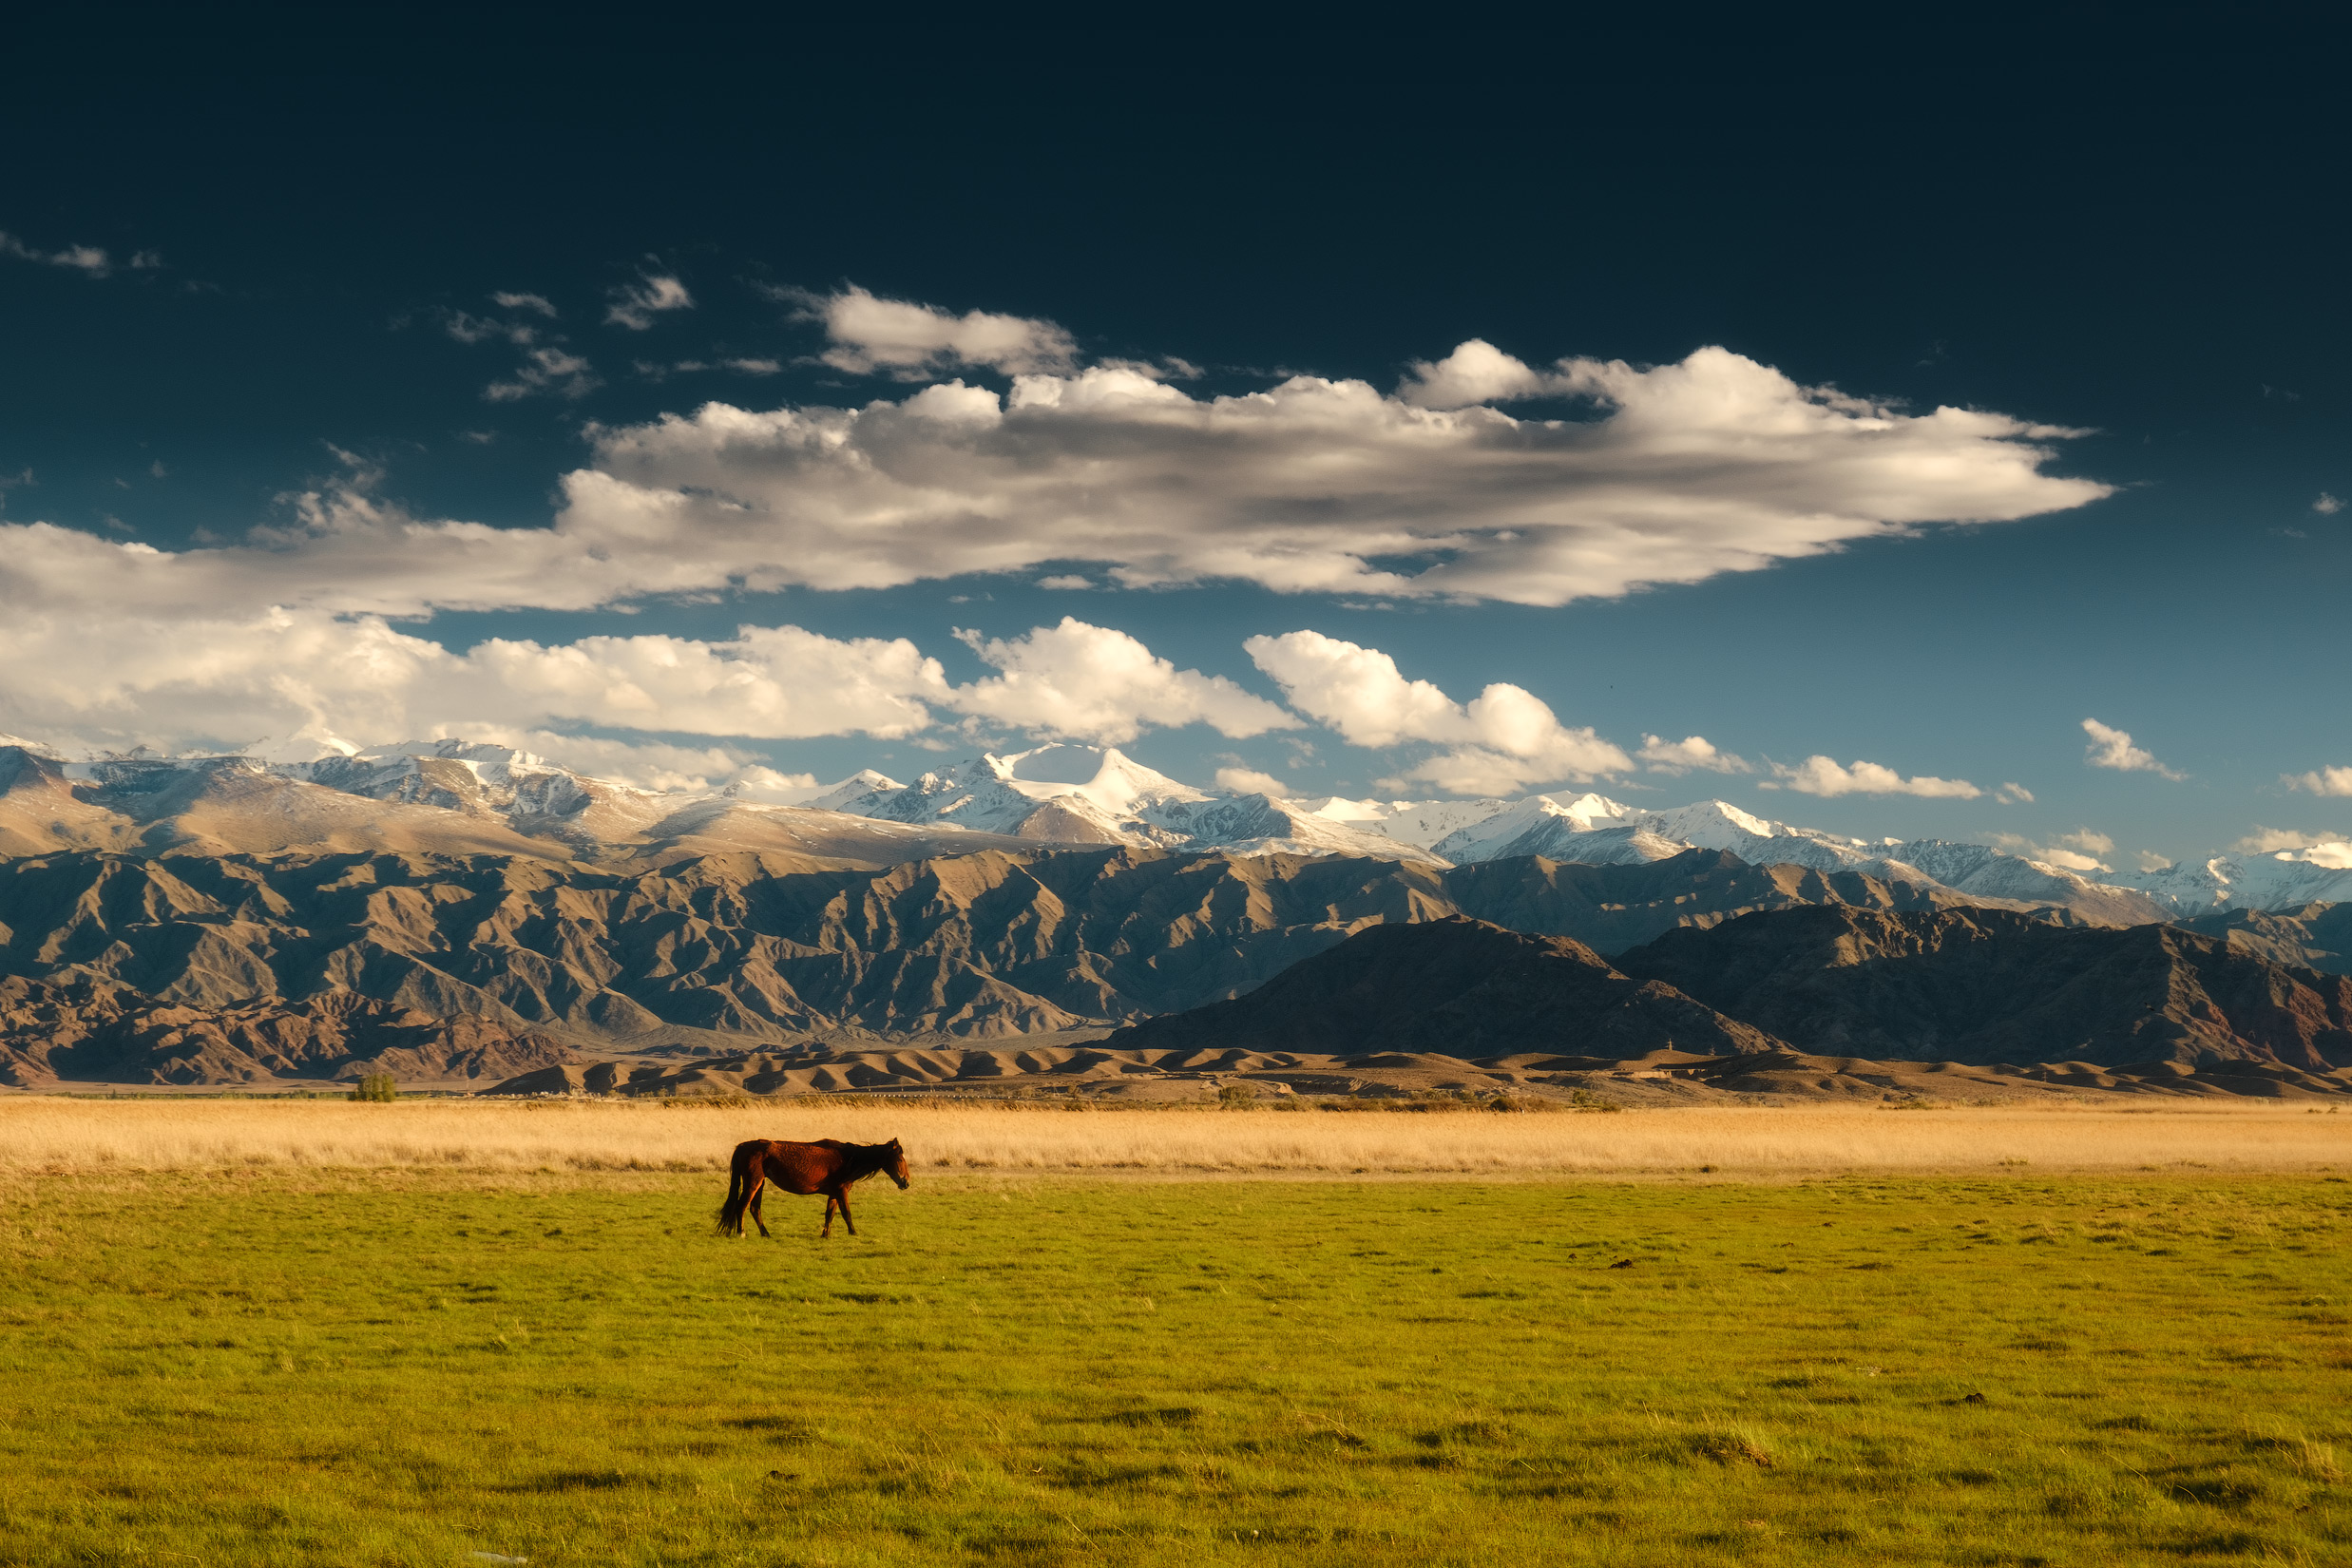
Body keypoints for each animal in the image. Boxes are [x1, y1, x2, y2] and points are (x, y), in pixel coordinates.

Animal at [715, 1142, 908, 1241]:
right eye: (899, 1158)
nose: (906, 1182)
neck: (848, 1158)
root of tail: (742, 1146)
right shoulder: (841, 1191)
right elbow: (847, 1213)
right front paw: (853, 1232)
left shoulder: (834, 1194)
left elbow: (830, 1214)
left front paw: (825, 1234)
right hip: (753, 1183)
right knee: (742, 1206)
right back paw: (741, 1232)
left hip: (760, 1184)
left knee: (755, 1209)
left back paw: (766, 1234)